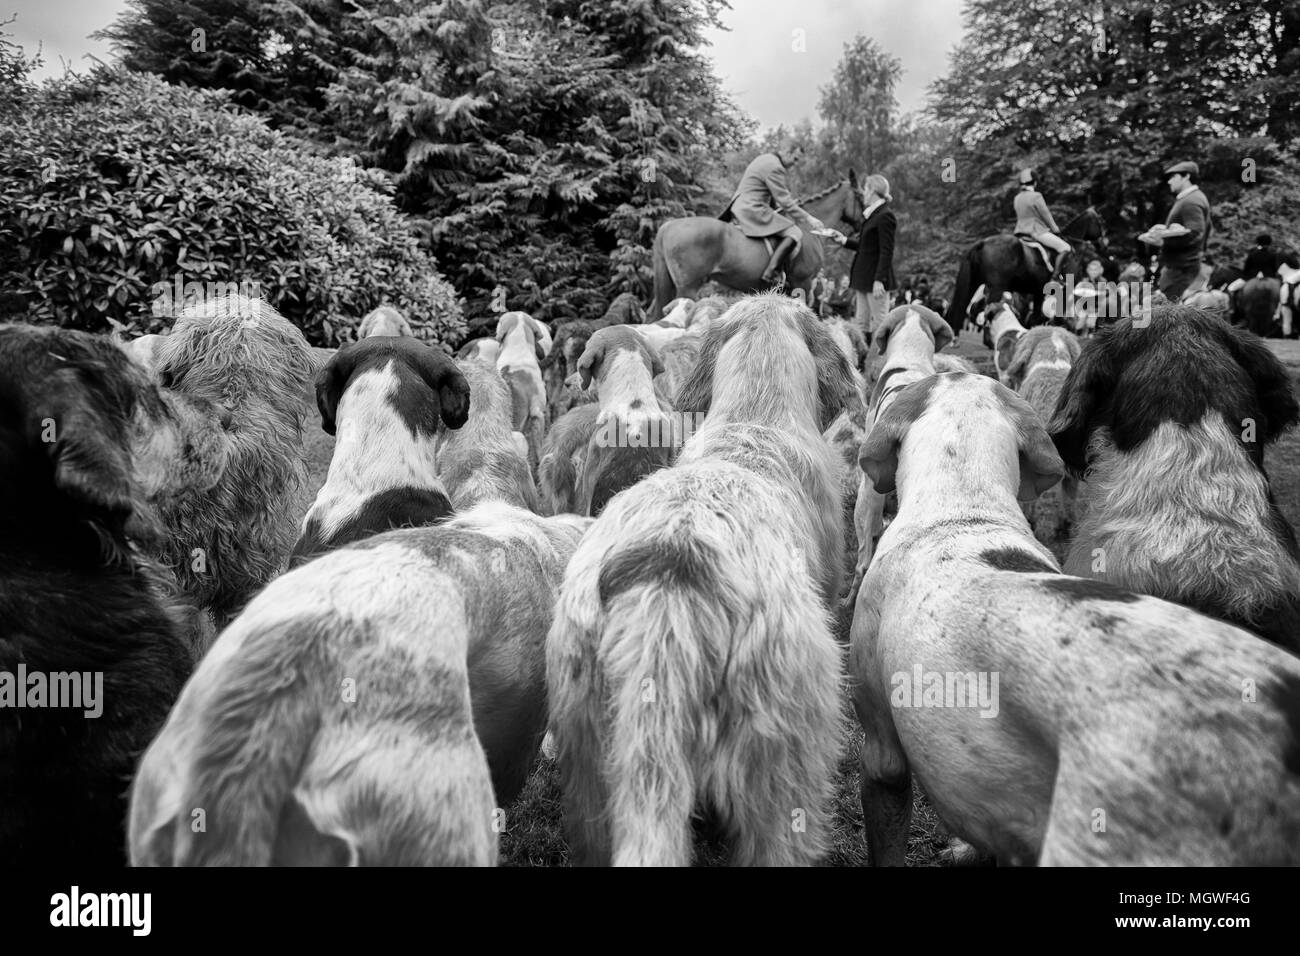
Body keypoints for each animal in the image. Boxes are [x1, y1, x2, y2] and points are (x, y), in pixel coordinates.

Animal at [647, 172, 863, 321]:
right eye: (860, 196)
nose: (861, 226)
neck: (809, 231)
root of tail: (668, 226)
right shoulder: (803, 283)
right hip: (688, 287)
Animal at [946, 206, 1118, 332]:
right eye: (1101, 221)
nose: (1105, 244)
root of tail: (982, 242)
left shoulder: (1038, 292)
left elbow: (1037, 317)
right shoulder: (1066, 291)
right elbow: (1056, 316)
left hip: (974, 284)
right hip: (996, 287)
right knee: (987, 312)